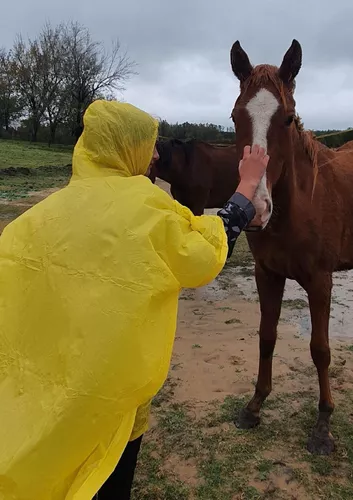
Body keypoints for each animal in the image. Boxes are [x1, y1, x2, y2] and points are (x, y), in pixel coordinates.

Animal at [230, 40, 353, 454]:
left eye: (286, 119)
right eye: (235, 117)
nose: (255, 209)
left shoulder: (320, 281)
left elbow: (320, 349)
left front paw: (323, 425)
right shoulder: (267, 274)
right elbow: (267, 336)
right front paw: (254, 405)